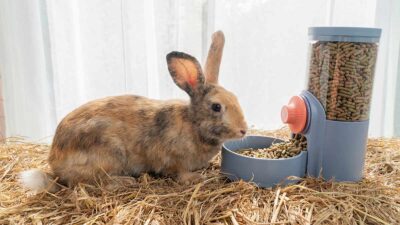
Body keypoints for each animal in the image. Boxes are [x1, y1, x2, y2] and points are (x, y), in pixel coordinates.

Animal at [20, 30, 248, 192]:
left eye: (236, 97)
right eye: (216, 107)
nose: (243, 130)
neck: (193, 123)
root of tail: (55, 165)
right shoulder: (173, 160)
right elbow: (179, 172)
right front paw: (195, 178)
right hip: (109, 155)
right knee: (90, 183)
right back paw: (125, 182)